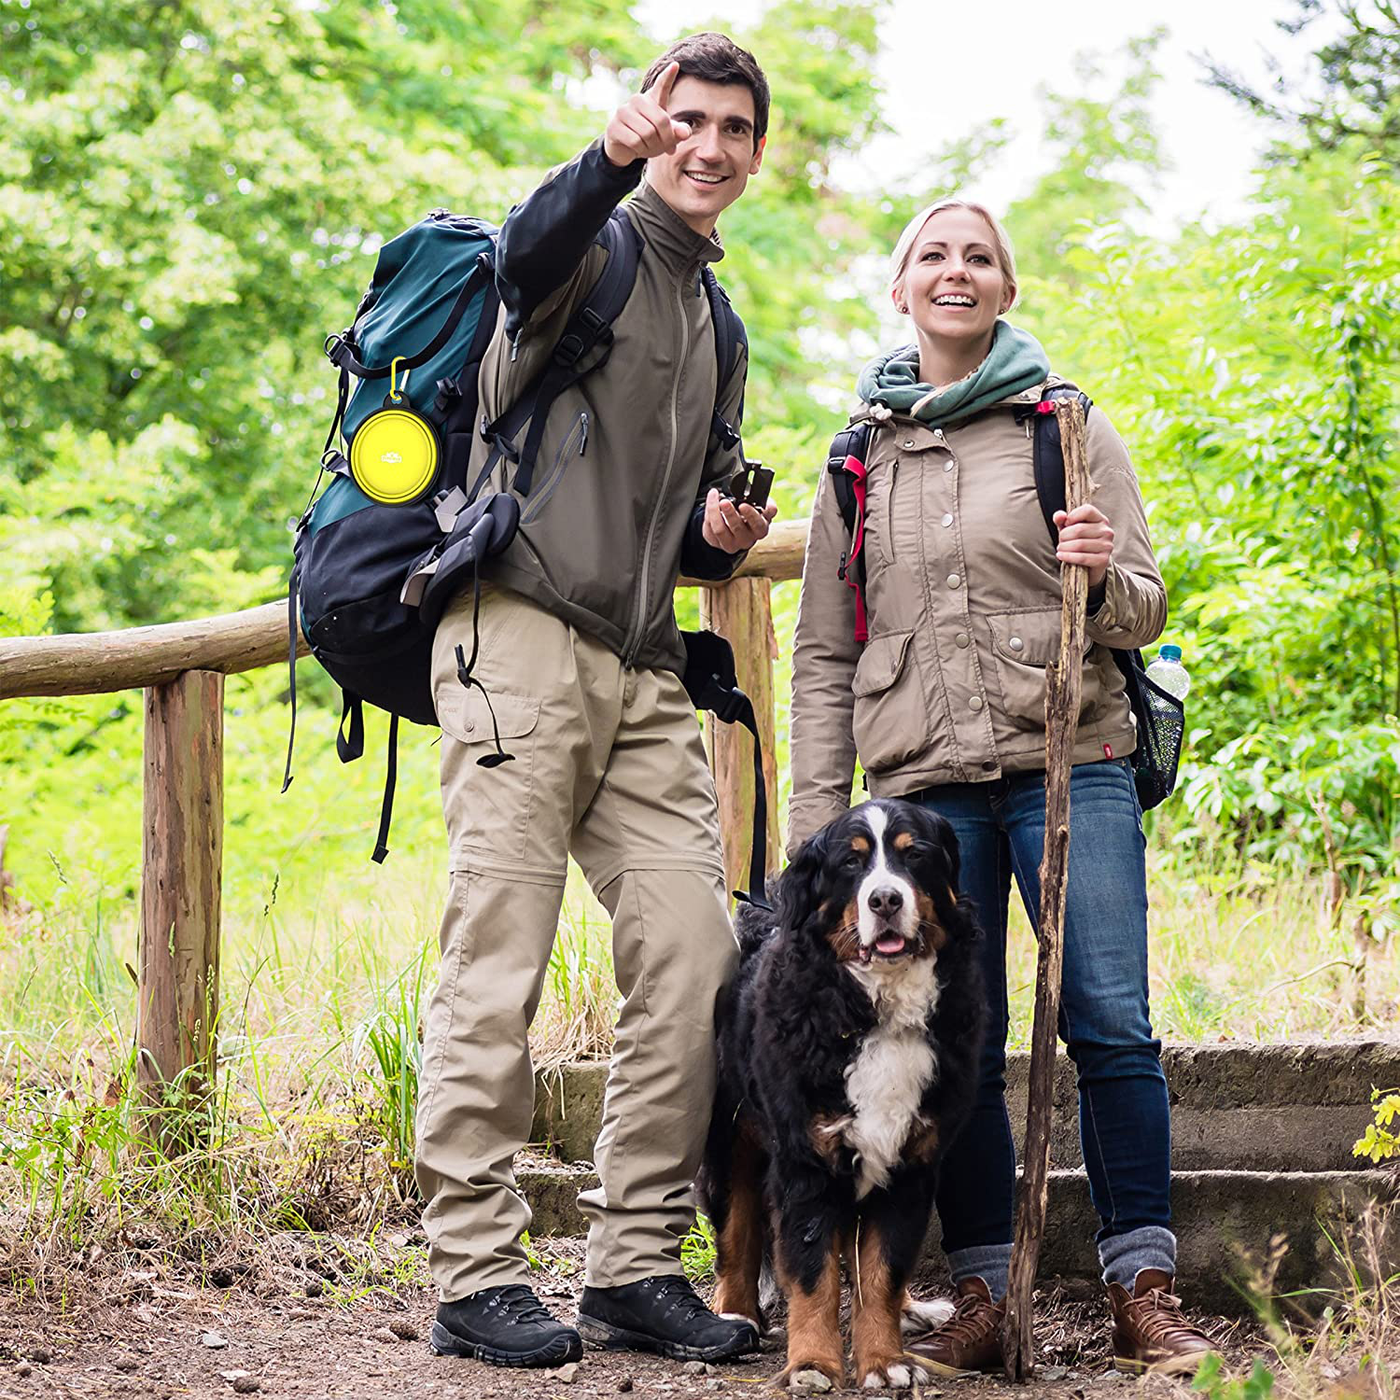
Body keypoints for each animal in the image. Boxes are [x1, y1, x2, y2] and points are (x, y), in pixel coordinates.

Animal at [700, 800, 985, 1388]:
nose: (885, 899)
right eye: (851, 865)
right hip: (731, 1135)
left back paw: (913, 1311)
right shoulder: (806, 1162)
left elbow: (881, 1272)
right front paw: (812, 1363)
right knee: (737, 1232)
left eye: (913, 855)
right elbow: (813, 1277)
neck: (877, 1012)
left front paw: (885, 1361)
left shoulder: (910, 1164)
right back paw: (735, 1314)